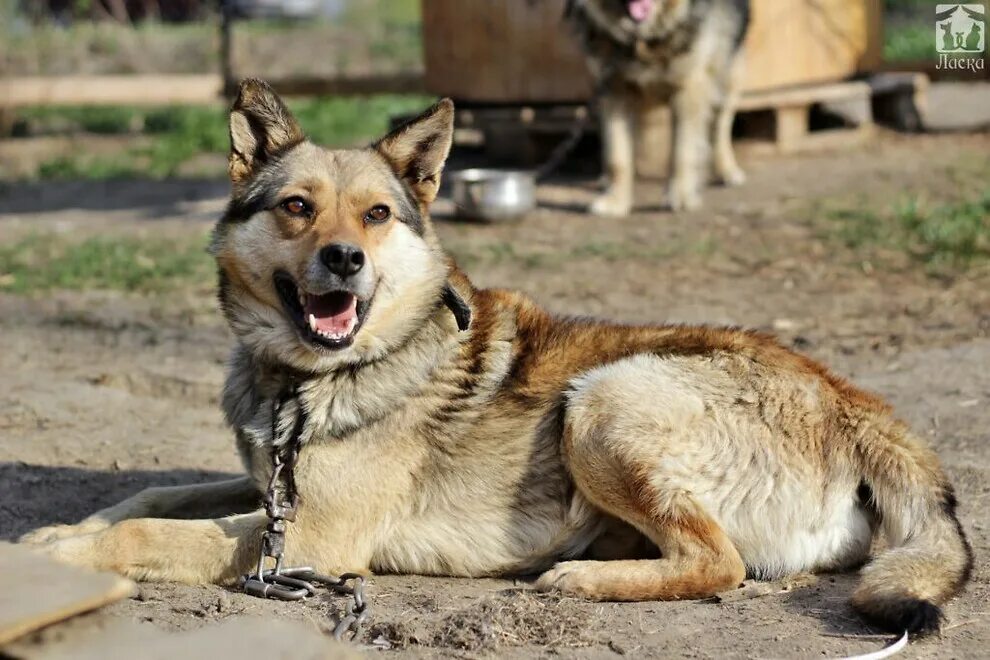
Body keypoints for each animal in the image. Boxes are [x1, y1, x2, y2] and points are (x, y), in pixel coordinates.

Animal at [19, 80, 972, 636]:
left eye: (376, 215)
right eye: (296, 207)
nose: (345, 260)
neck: (304, 379)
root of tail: (854, 401)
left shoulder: (313, 536)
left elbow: (147, 529)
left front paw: (58, 558)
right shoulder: (271, 487)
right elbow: (152, 496)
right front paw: (55, 533)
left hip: (604, 402)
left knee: (721, 564)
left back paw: (583, 578)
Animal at [564, 0, 752, 213]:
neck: (643, 37)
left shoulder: (690, 87)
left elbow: (683, 149)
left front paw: (681, 195)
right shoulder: (613, 89)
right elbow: (618, 155)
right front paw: (616, 201)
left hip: (728, 73)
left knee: (720, 126)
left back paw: (727, 170)